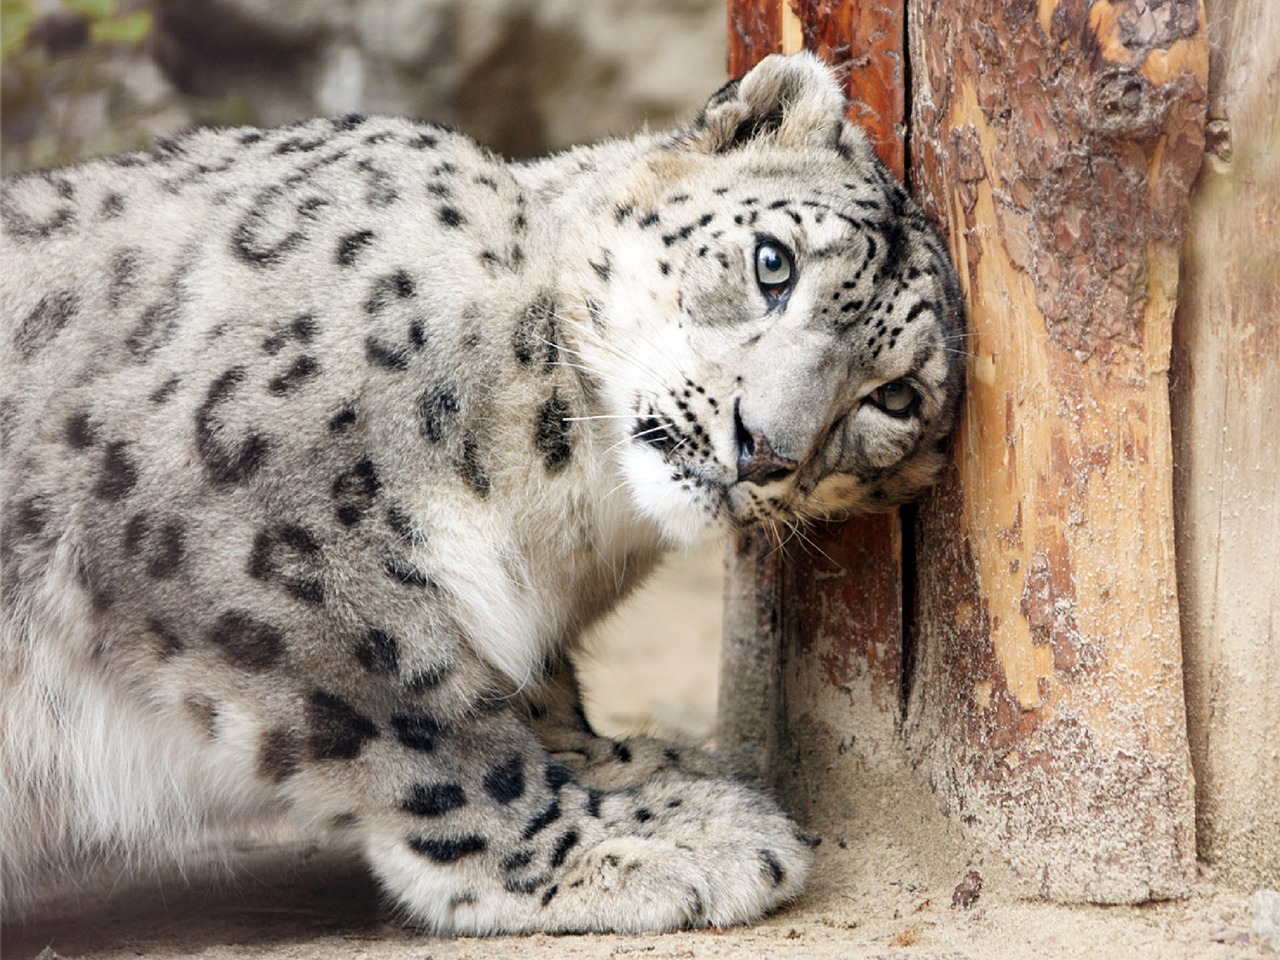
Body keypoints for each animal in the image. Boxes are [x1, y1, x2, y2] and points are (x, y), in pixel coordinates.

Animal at [0, 50, 962, 931]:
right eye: (772, 263)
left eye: (894, 399)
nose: (763, 447)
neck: (565, 507)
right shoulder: (256, 544)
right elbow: (426, 725)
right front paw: (642, 842)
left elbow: (528, 694)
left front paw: (644, 766)